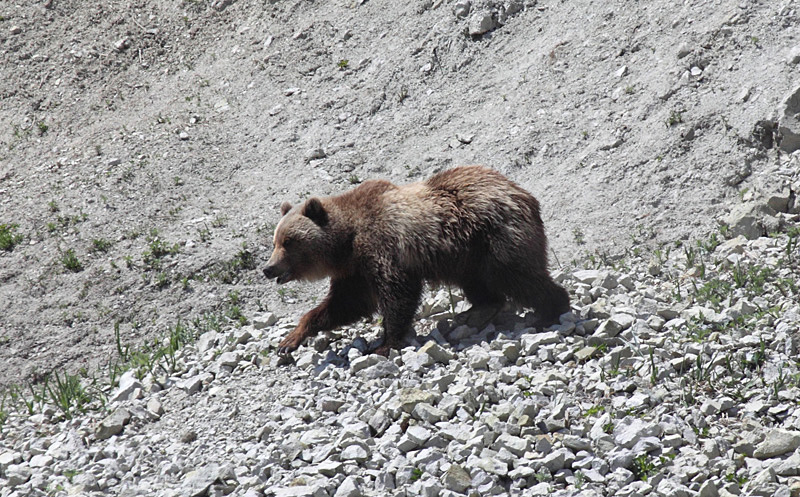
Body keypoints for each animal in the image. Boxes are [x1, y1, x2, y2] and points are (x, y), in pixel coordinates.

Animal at [262, 166, 568, 352]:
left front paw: (386, 343)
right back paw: (476, 311)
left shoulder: (383, 247)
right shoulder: (355, 271)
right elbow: (345, 303)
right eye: (275, 241)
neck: (347, 243)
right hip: (468, 254)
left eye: (289, 242)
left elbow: (397, 293)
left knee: (517, 275)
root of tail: (523, 193)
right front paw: (290, 338)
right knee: (479, 282)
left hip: (493, 237)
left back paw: (550, 310)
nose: (268, 268)